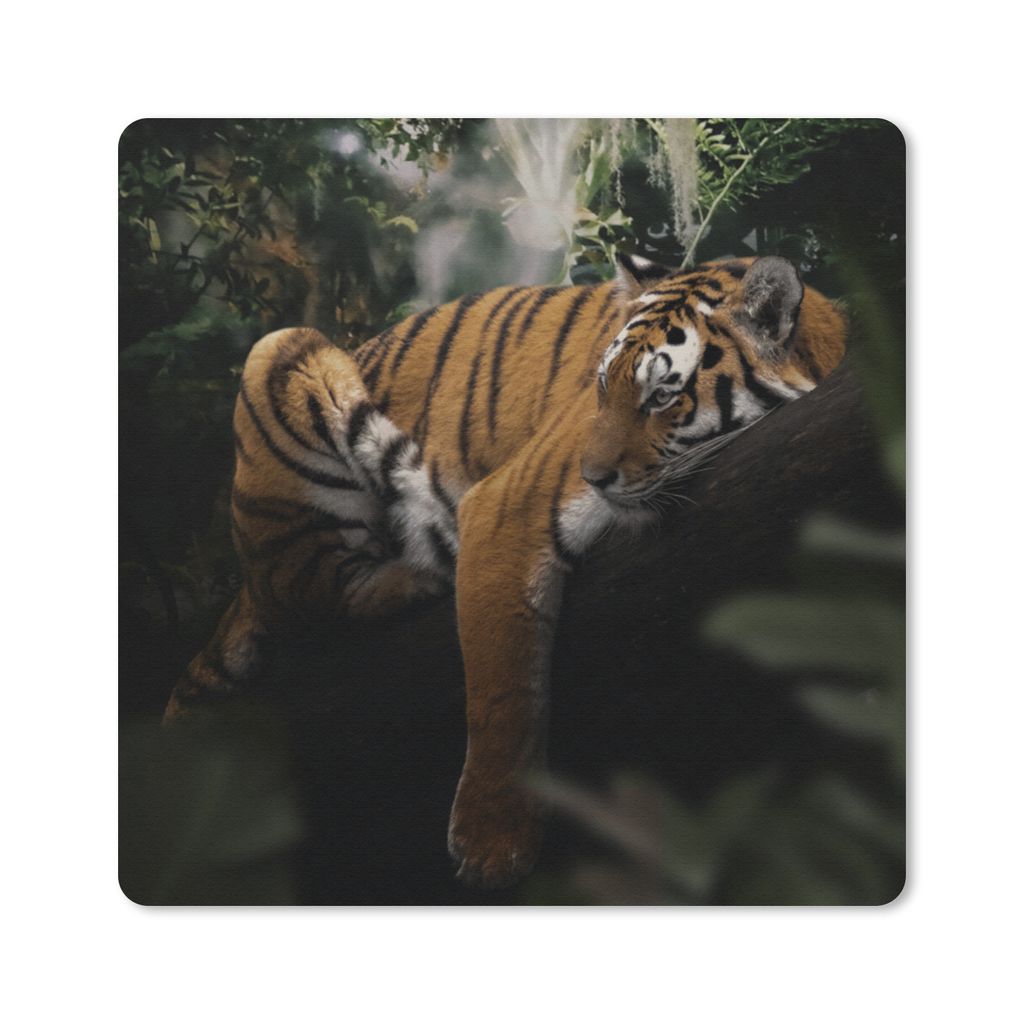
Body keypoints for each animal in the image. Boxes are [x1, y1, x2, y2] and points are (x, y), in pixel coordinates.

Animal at [163, 253, 847, 888]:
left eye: (661, 396)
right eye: (602, 388)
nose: (592, 476)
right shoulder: (503, 511)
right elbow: (505, 695)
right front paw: (494, 847)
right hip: (282, 353)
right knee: (303, 595)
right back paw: (417, 575)